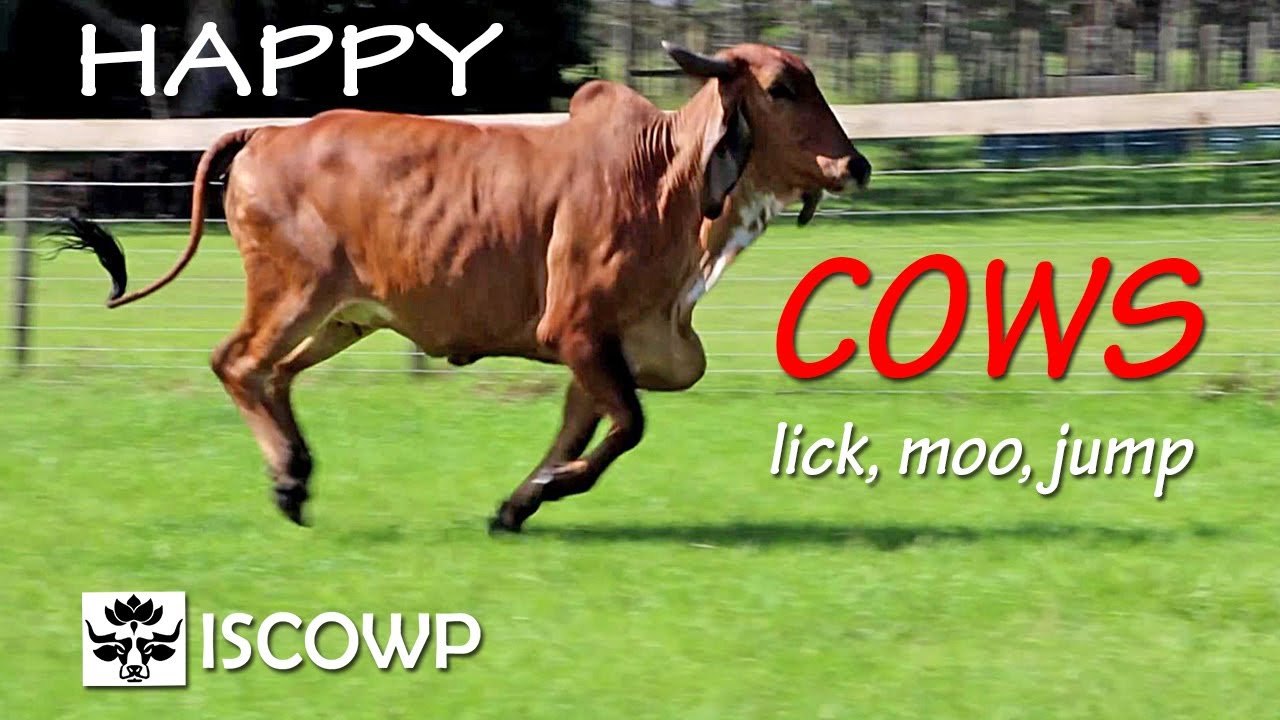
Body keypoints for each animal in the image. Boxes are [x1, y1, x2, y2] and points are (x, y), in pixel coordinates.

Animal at [53, 41, 871, 533]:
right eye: (781, 88)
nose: (854, 164)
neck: (665, 180)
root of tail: (268, 133)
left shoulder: (610, 351)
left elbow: (584, 429)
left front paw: (518, 503)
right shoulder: (577, 330)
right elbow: (627, 427)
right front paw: (546, 491)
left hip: (345, 316)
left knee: (273, 374)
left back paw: (299, 475)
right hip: (292, 294)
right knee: (237, 362)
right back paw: (287, 480)